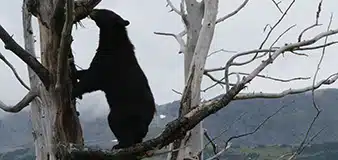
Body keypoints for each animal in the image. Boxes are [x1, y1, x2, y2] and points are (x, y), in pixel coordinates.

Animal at [73, 8, 157, 152]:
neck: (113, 42)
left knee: (116, 123)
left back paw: (121, 144)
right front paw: (73, 72)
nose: (92, 10)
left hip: (124, 112)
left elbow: (93, 80)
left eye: (104, 11)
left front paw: (74, 91)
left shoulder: (110, 63)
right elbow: (88, 72)